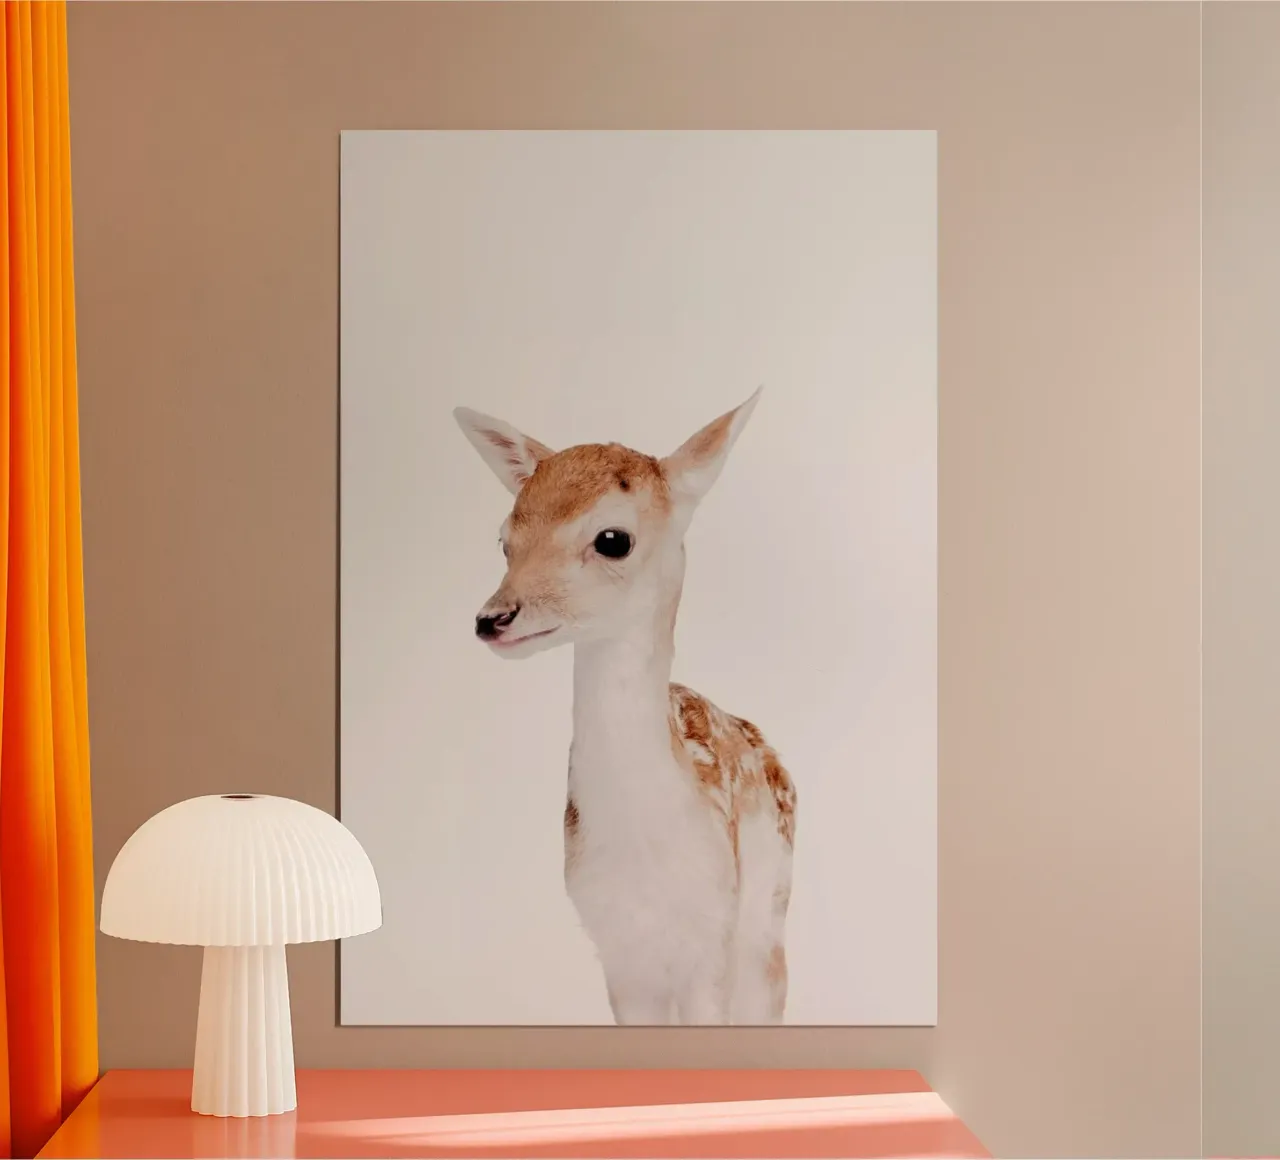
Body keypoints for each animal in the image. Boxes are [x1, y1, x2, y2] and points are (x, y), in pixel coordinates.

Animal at [453, 389, 796, 1025]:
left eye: (613, 539)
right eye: (504, 538)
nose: (493, 618)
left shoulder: (712, 937)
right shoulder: (617, 950)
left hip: (769, 914)